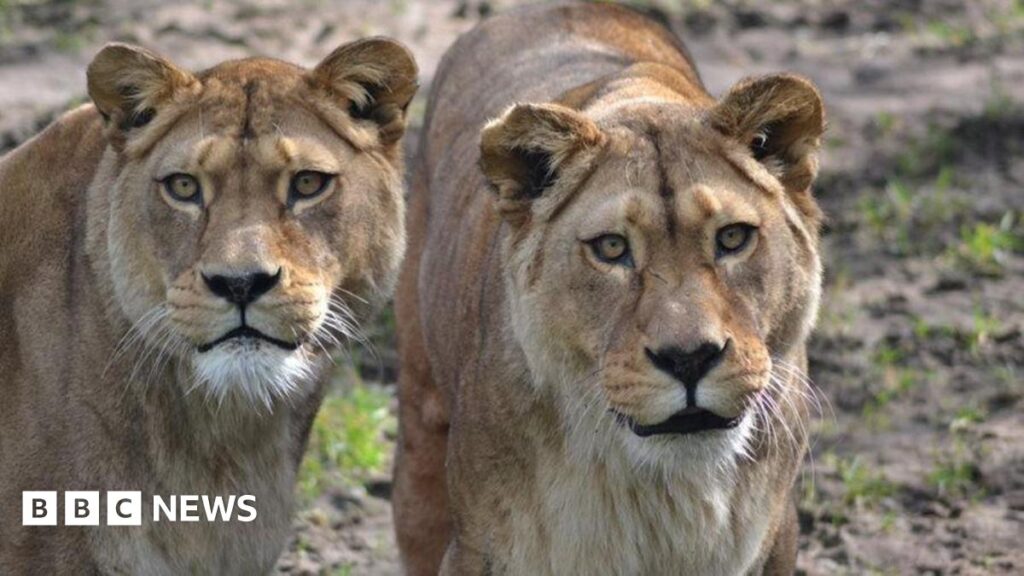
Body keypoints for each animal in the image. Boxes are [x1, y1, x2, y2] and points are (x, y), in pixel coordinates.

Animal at [393, 3, 824, 575]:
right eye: (612, 248)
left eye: (732, 238)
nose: (689, 359)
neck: (664, 493)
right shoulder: (477, 549)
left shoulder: (775, 538)